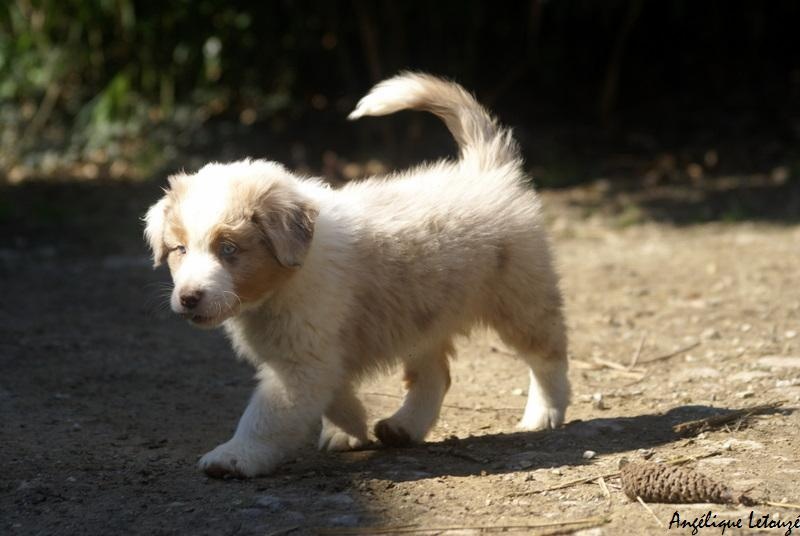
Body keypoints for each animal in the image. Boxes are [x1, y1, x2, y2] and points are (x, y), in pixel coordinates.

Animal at [143, 73, 569, 478]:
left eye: (229, 249)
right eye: (180, 249)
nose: (188, 298)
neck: (284, 283)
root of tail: (487, 169)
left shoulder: (302, 361)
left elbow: (267, 416)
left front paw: (234, 456)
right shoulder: (317, 356)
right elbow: (335, 392)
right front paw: (351, 426)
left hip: (520, 296)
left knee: (548, 354)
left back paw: (544, 413)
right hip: (423, 314)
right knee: (435, 374)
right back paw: (402, 426)